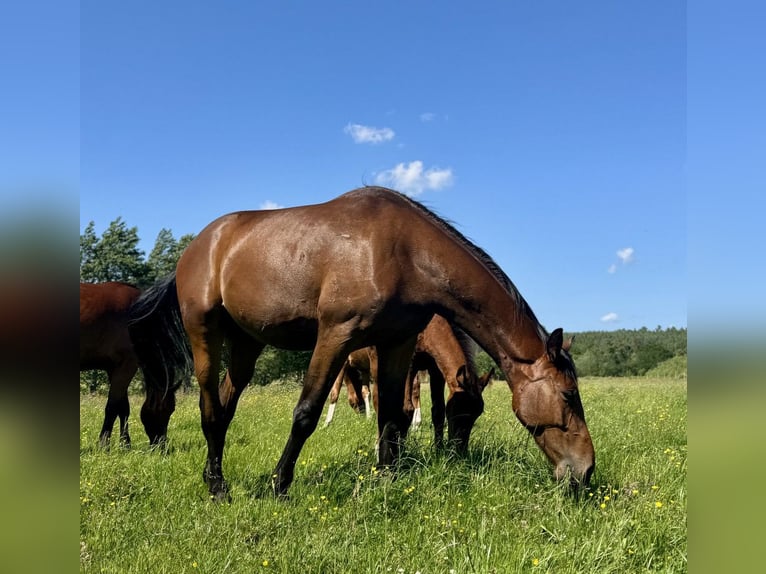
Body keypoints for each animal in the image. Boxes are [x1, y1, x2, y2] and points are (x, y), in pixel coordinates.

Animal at [80, 282, 176, 447]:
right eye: (169, 409)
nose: (163, 446)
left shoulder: (114, 368)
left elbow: (123, 407)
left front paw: (125, 444)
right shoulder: (127, 365)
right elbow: (112, 407)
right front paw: (104, 444)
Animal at [324, 314, 494, 452]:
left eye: (477, 413)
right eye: (458, 411)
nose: (459, 449)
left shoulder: (435, 369)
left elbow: (438, 411)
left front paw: (439, 451)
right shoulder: (410, 365)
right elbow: (407, 408)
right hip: (350, 363)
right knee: (340, 392)